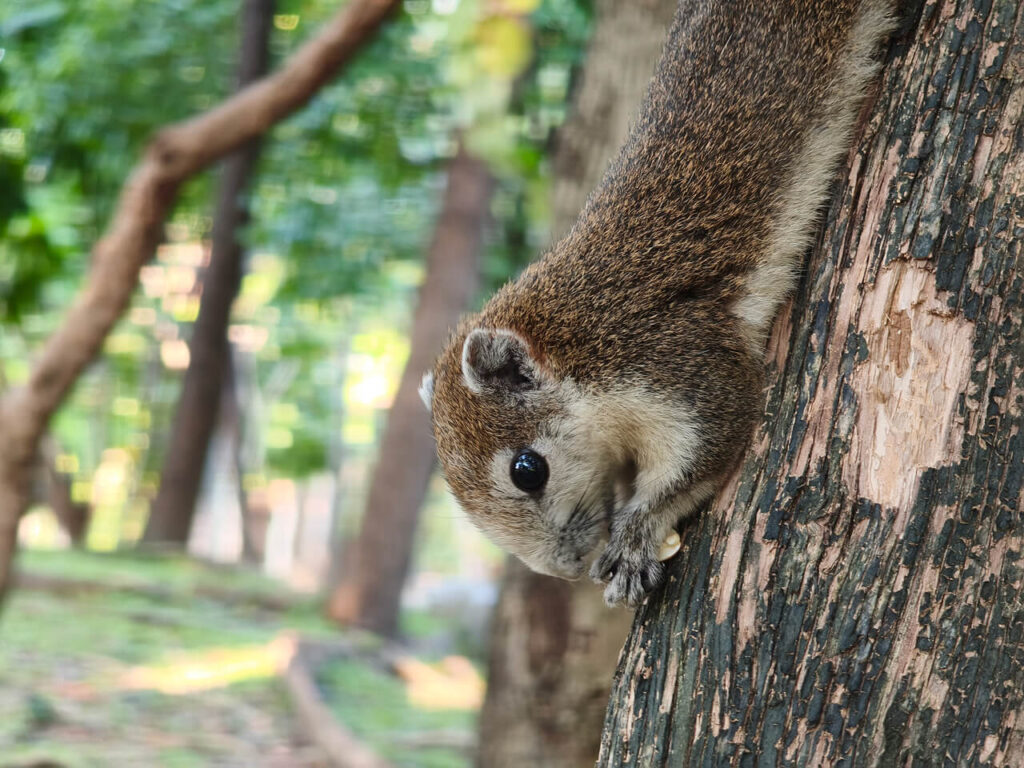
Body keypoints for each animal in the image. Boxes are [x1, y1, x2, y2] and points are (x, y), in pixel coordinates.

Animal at [420, 0, 896, 606]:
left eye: (528, 470)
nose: (565, 568)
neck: (577, 338)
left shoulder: (676, 362)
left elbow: (705, 448)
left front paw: (634, 540)